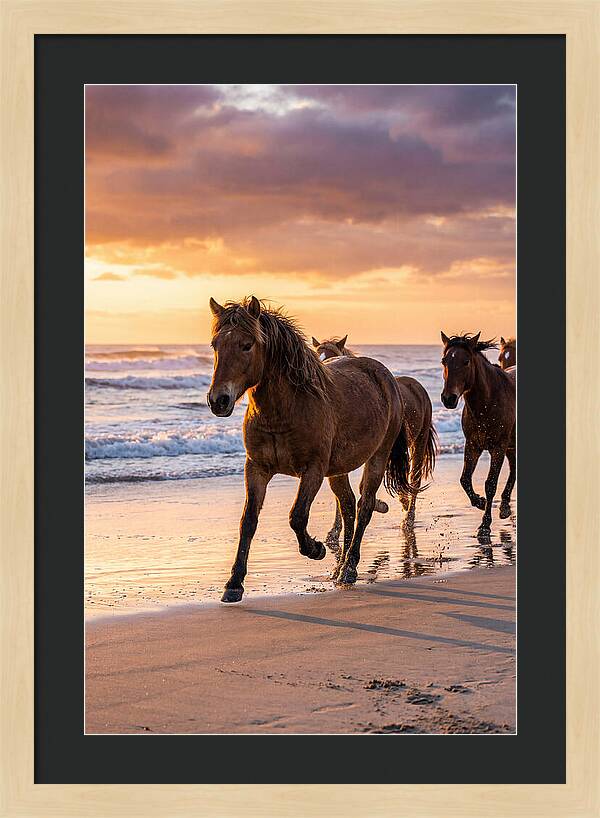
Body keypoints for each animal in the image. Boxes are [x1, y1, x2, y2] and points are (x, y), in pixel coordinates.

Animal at [207, 296, 415, 602]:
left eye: (247, 344)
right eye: (215, 345)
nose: (218, 400)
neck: (285, 409)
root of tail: (386, 377)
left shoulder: (313, 470)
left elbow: (297, 516)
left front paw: (316, 549)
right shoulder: (256, 468)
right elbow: (248, 521)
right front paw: (234, 584)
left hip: (376, 458)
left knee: (364, 506)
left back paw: (349, 568)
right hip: (338, 470)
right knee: (348, 506)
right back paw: (339, 568)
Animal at [313, 335, 437, 531]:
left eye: (332, 355)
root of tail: (417, 386)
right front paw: (335, 530)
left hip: (419, 442)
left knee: (414, 480)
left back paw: (408, 519)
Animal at [440, 331, 516, 536]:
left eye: (466, 361)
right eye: (444, 361)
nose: (448, 399)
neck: (488, 402)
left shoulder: (498, 448)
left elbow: (490, 484)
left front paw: (485, 524)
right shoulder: (473, 445)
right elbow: (465, 479)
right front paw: (479, 502)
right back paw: (505, 507)